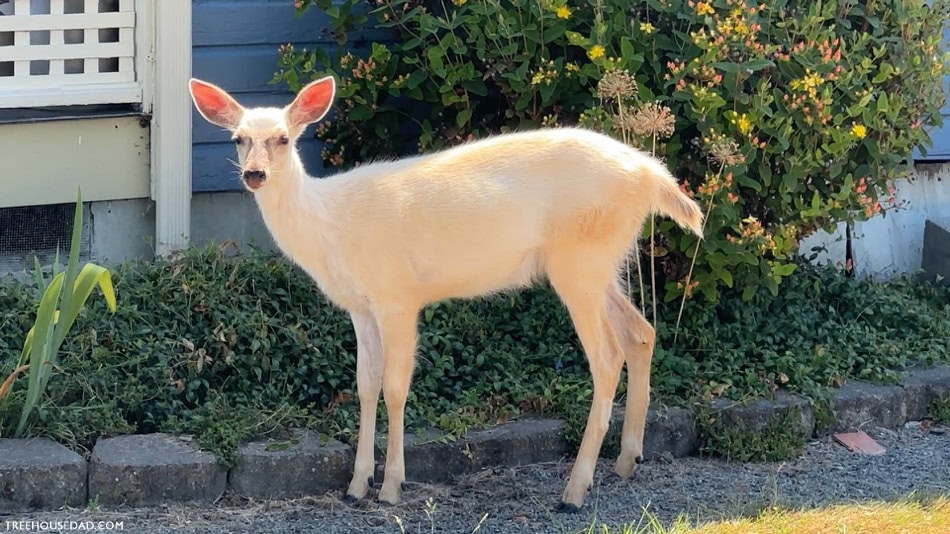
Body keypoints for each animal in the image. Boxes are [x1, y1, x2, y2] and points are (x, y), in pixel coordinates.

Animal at [188, 75, 704, 513]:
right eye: (237, 138)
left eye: (283, 138)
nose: (254, 174)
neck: (330, 226)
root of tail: (651, 175)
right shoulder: (360, 305)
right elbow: (365, 384)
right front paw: (356, 486)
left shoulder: (398, 295)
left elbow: (396, 387)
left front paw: (391, 488)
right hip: (603, 263)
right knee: (641, 332)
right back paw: (626, 462)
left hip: (580, 260)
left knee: (608, 357)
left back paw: (574, 491)